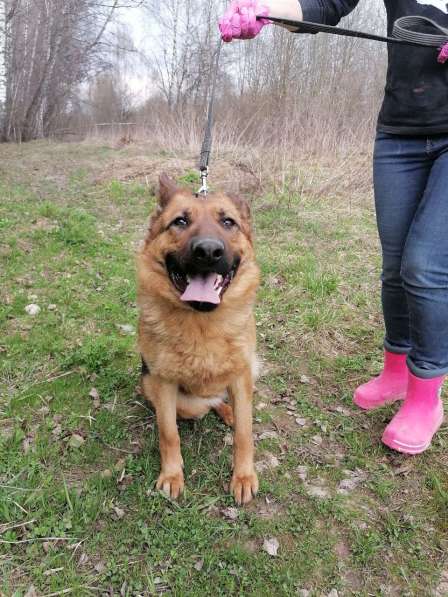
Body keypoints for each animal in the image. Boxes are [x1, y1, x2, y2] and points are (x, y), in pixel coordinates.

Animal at [138, 172, 260, 502]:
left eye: (228, 222)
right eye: (180, 221)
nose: (208, 252)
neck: (202, 321)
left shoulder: (241, 376)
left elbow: (244, 433)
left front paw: (243, 476)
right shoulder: (164, 384)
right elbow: (168, 433)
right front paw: (172, 475)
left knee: (222, 400)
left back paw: (228, 410)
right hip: (166, 392)